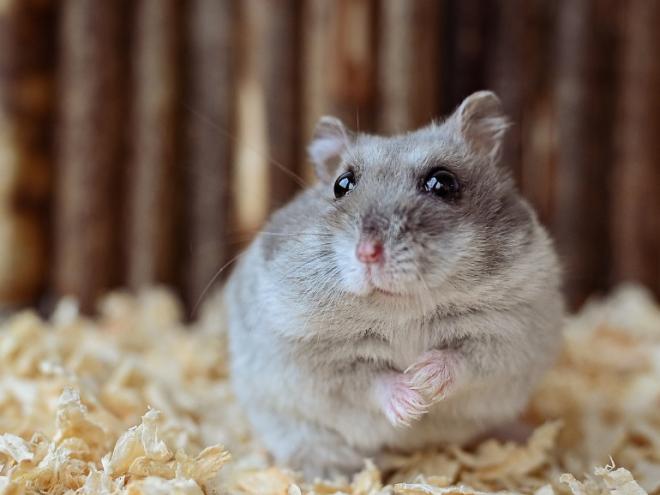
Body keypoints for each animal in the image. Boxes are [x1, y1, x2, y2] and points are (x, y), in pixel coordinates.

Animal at [224, 91, 564, 479]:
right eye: (342, 185)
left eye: (442, 183)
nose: (367, 252)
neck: (400, 307)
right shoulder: (317, 357)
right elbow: (368, 380)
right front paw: (412, 401)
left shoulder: (508, 333)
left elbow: (465, 358)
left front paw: (425, 378)